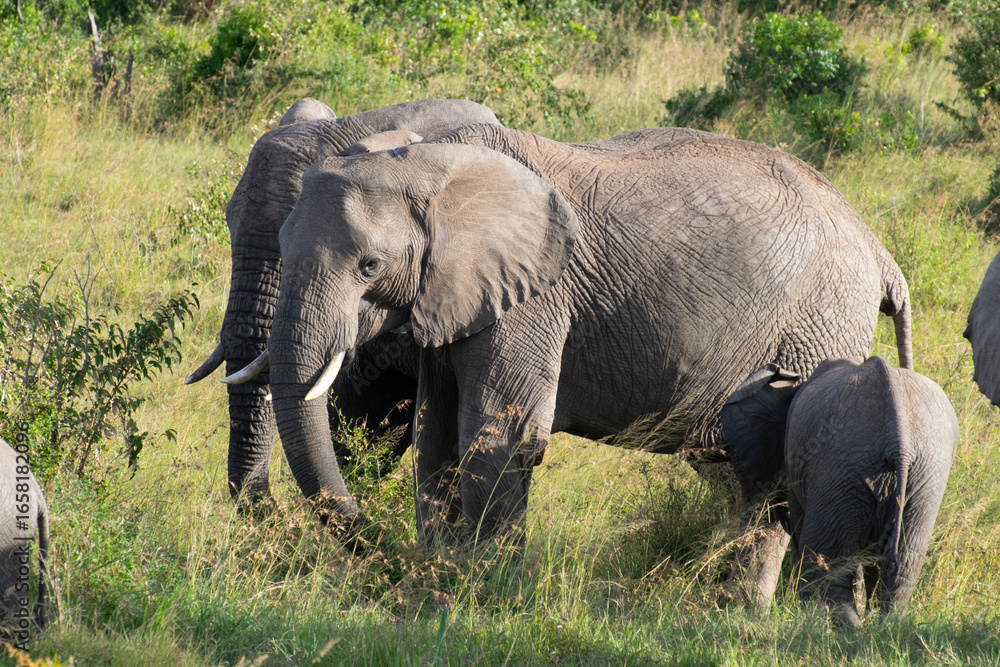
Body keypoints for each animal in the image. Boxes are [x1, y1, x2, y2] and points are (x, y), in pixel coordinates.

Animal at [258, 120, 914, 572]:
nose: (381, 552)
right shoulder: (450, 297)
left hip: (820, 321)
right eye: (282, 247)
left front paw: (482, 587)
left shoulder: (535, 295)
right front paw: (442, 573)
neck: (429, 163)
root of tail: (881, 254)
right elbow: (436, 433)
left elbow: (499, 432)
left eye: (370, 265)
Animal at [722, 357, 958, 628]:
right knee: (903, 562)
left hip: (841, 467)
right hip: (926, 476)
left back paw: (833, 626)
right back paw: (886, 626)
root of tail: (901, 446)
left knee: (827, 559)